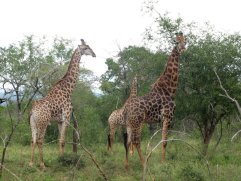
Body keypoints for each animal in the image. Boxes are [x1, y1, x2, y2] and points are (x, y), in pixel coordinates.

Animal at [28, 39, 95, 168]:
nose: (94, 54)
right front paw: (63, 160)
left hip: (33, 123)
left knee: (33, 140)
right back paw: (42, 164)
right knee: (39, 140)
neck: (68, 90)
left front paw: (60, 158)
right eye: (86, 48)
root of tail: (32, 111)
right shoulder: (66, 118)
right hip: (43, 122)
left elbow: (59, 141)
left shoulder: (59, 121)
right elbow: (63, 141)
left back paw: (31, 163)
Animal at [123, 32, 185, 167]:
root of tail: (126, 108)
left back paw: (127, 166)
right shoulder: (168, 116)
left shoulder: (163, 119)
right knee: (136, 141)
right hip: (137, 122)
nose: (183, 48)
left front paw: (162, 161)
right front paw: (163, 162)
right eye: (176, 42)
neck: (169, 89)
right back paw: (143, 163)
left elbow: (162, 140)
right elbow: (164, 141)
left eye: (185, 41)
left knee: (128, 141)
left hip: (131, 123)